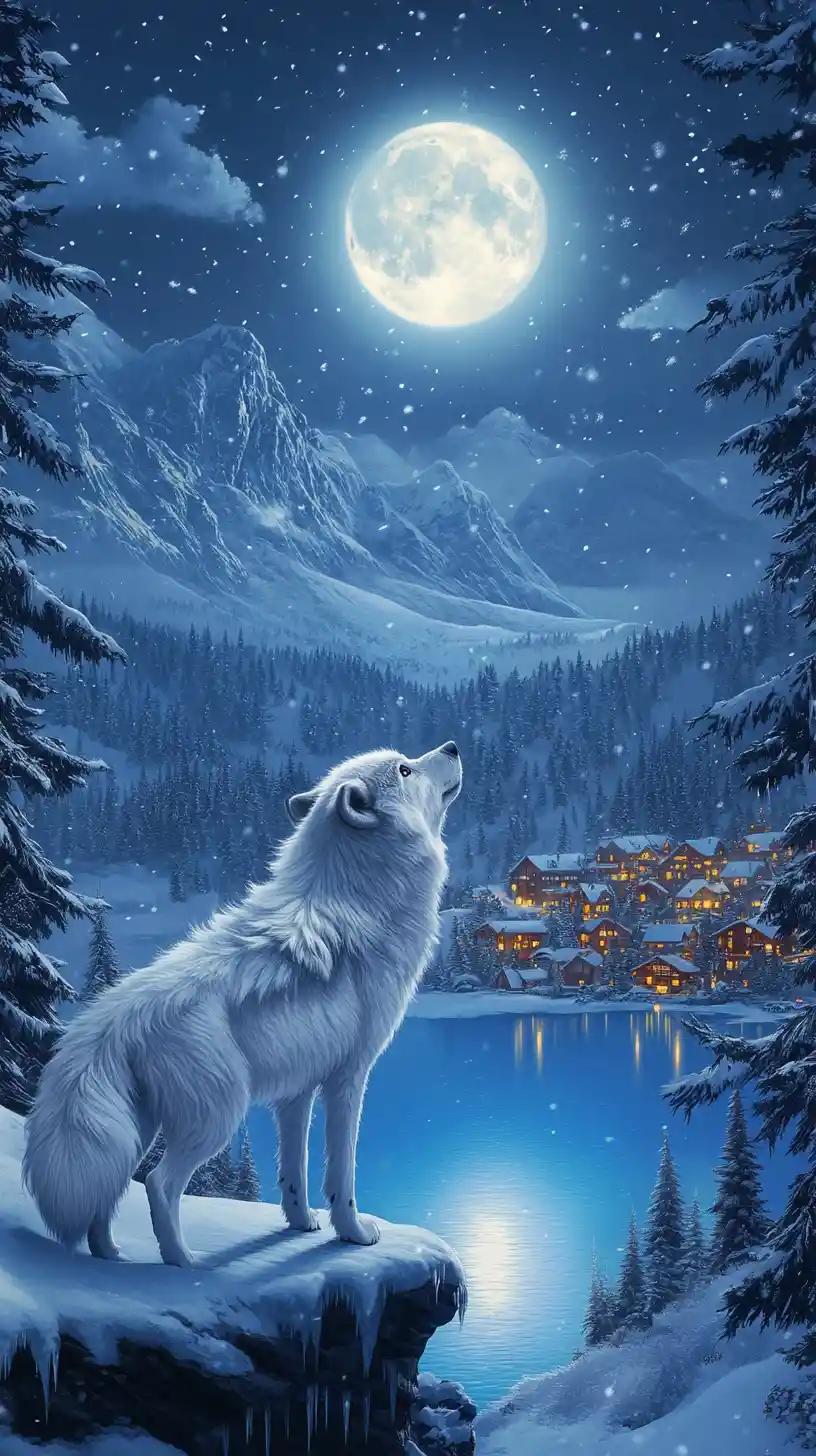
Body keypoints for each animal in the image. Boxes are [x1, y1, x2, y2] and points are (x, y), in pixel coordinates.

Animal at [23, 742, 462, 1268]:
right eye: (404, 768)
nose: (453, 746)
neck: (359, 896)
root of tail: (111, 1019)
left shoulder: (296, 1091)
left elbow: (294, 1170)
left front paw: (300, 1224)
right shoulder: (349, 1076)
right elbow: (342, 1172)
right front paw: (353, 1233)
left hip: (136, 1128)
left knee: (110, 1190)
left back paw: (111, 1257)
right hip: (217, 1118)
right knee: (158, 1184)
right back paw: (184, 1265)